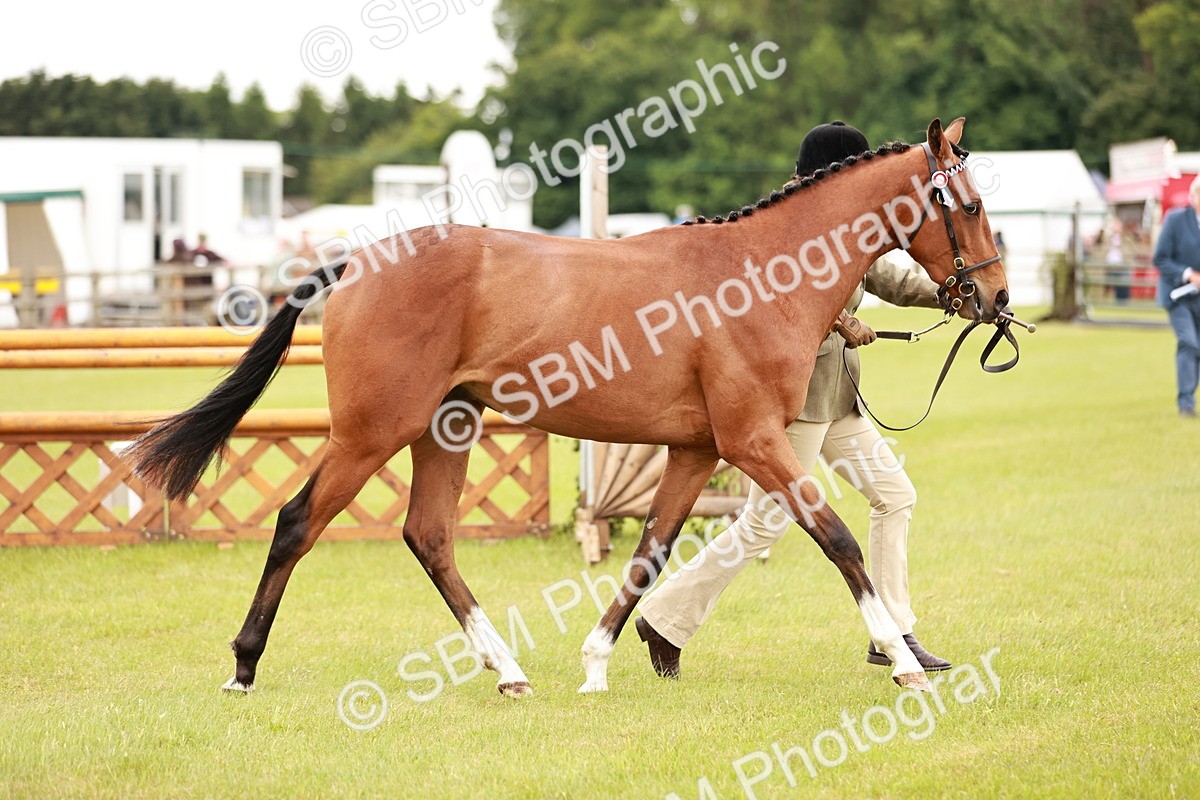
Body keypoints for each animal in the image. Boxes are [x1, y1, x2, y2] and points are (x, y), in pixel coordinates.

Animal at [128, 117, 1008, 698]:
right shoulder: (754, 441)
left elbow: (651, 552)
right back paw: (244, 666)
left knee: (429, 537)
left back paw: (509, 671)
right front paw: (902, 660)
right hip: (371, 433)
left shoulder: (698, 450)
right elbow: (837, 540)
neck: (761, 275)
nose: (995, 300)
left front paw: (598, 661)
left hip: (446, 430)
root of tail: (355, 262)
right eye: (965, 206)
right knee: (297, 523)